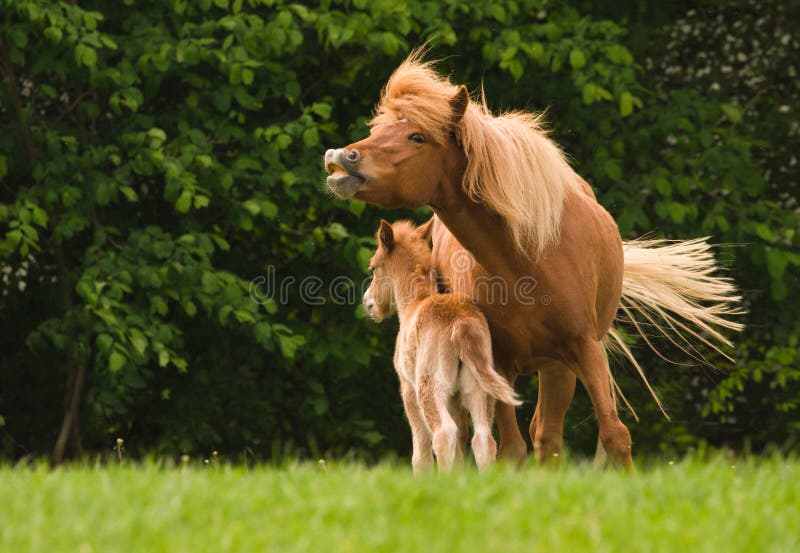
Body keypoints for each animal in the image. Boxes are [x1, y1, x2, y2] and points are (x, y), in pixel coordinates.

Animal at [362, 219, 520, 470]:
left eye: (373, 267)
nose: (368, 304)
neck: (414, 303)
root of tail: (461, 323)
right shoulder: (454, 398)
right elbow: (461, 442)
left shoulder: (407, 387)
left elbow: (420, 447)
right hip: (479, 388)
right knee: (483, 439)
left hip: (431, 386)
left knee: (444, 433)